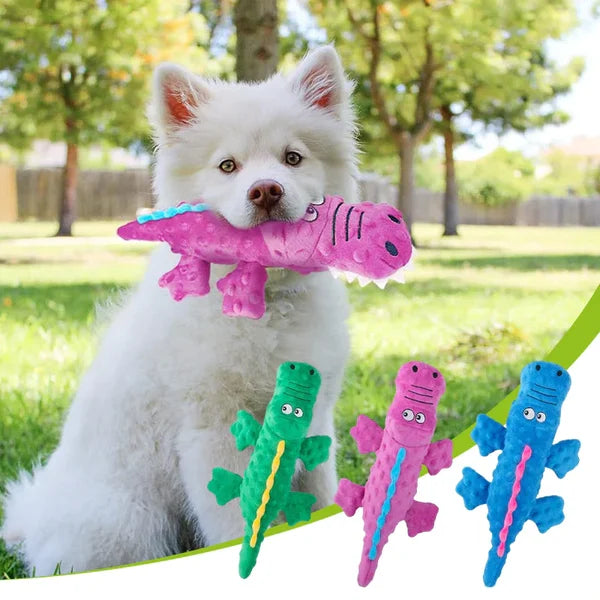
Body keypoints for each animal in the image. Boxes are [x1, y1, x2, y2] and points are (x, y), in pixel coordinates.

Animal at [1, 44, 356, 576]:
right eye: (227, 166)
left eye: (292, 158)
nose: (266, 190)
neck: (264, 302)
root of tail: (34, 521)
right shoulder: (217, 434)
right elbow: (236, 519)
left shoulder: (314, 420)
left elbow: (319, 494)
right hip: (128, 522)